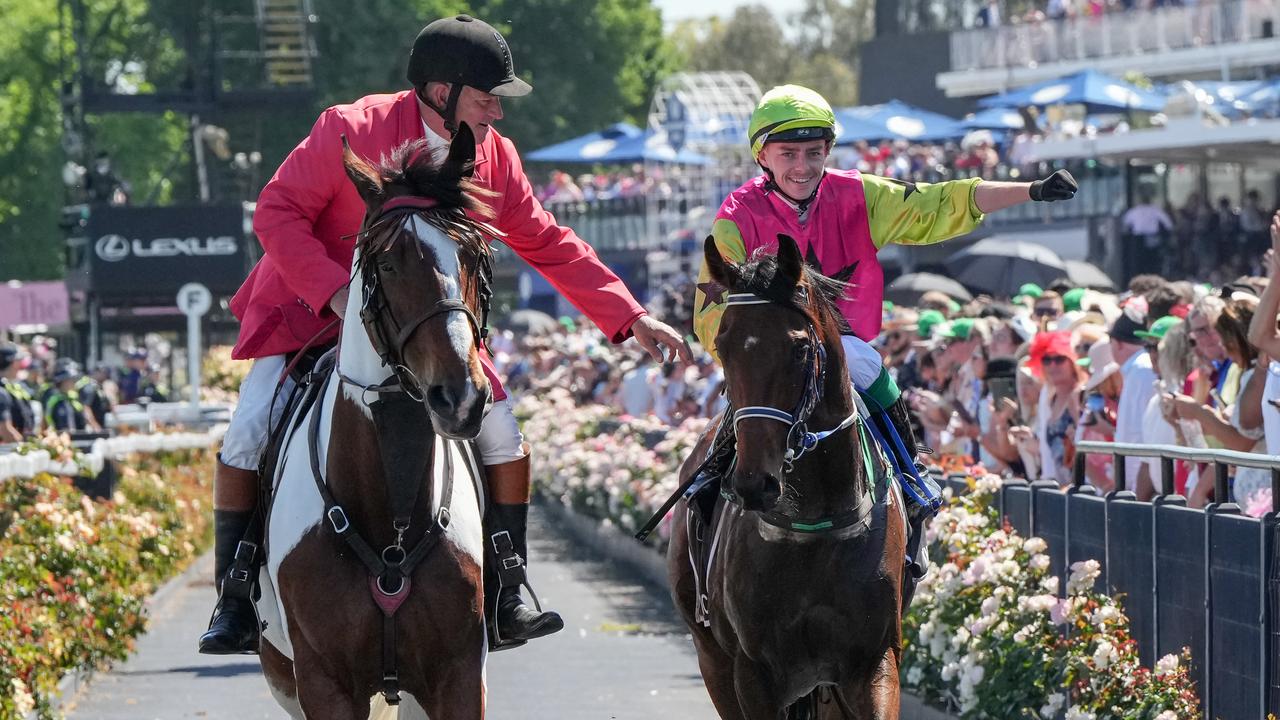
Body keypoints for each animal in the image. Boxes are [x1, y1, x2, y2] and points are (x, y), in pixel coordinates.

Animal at [258, 126, 494, 712]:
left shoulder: (458, 674)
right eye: (387, 265)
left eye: (473, 257)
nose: (460, 398)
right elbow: (281, 211)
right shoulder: (323, 683)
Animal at [665, 234, 906, 712]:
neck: (818, 523)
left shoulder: (874, 661)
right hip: (710, 656)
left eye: (799, 348)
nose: (754, 483)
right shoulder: (752, 671)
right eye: (723, 344)